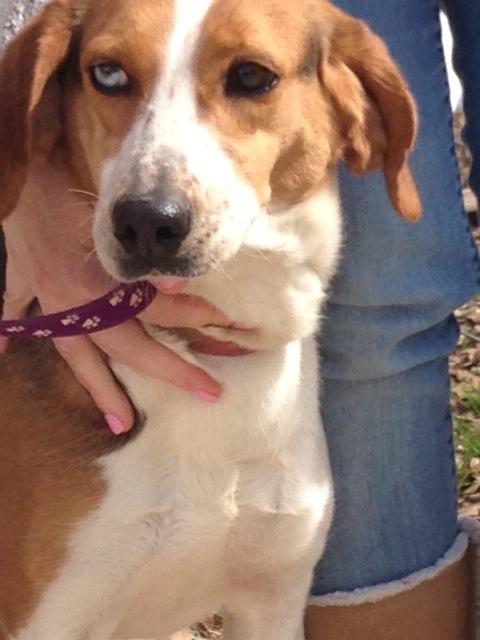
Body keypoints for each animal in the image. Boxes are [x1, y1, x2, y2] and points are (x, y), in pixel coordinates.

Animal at [0, 1, 420, 640]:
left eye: (250, 76)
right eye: (107, 74)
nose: (147, 222)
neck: (204, 351)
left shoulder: (273, 600)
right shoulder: (50, 616)